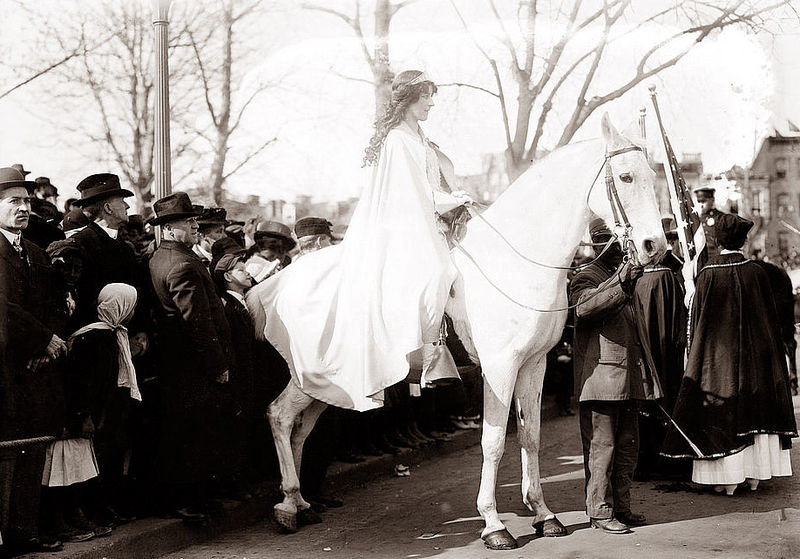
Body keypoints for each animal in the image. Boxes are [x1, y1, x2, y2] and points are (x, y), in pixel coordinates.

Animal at [247, 114, 664, 552]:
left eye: (653, 175)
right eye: (626, 176)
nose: (655, 245)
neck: (513, 263)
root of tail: (275, 283)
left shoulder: (534, 364)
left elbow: (530, 436)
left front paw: (544, 515)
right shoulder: (499, 369)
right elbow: (494, 442)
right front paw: (494, 525)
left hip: (327, 384)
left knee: (300, 427)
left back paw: (300, 503)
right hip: (310, 376)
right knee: (279, 416)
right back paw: (287, 506)